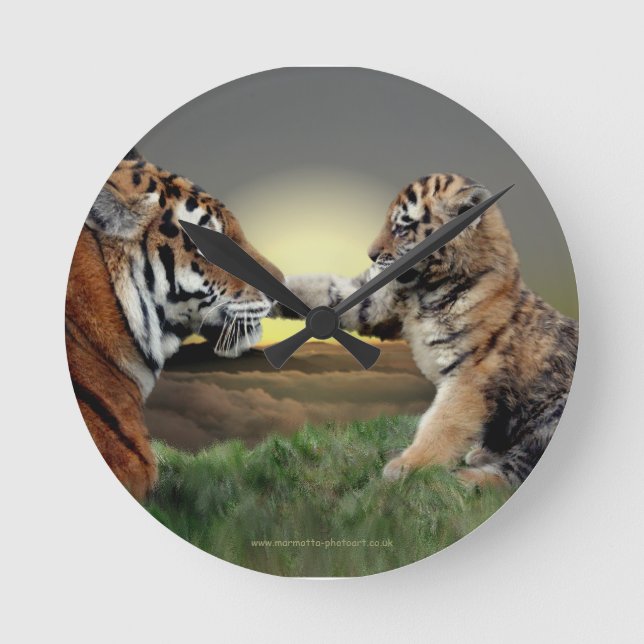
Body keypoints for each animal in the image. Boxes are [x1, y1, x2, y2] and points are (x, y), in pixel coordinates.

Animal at [279, 173, 578, 488]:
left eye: (401, 228)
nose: (370, 255)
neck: (426, 288)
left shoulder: (468, 375)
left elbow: (441, 423)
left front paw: (408, 466)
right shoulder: (378, 301)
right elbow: (327, 290)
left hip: (551, 413)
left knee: (516, 469)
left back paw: (465, 478)